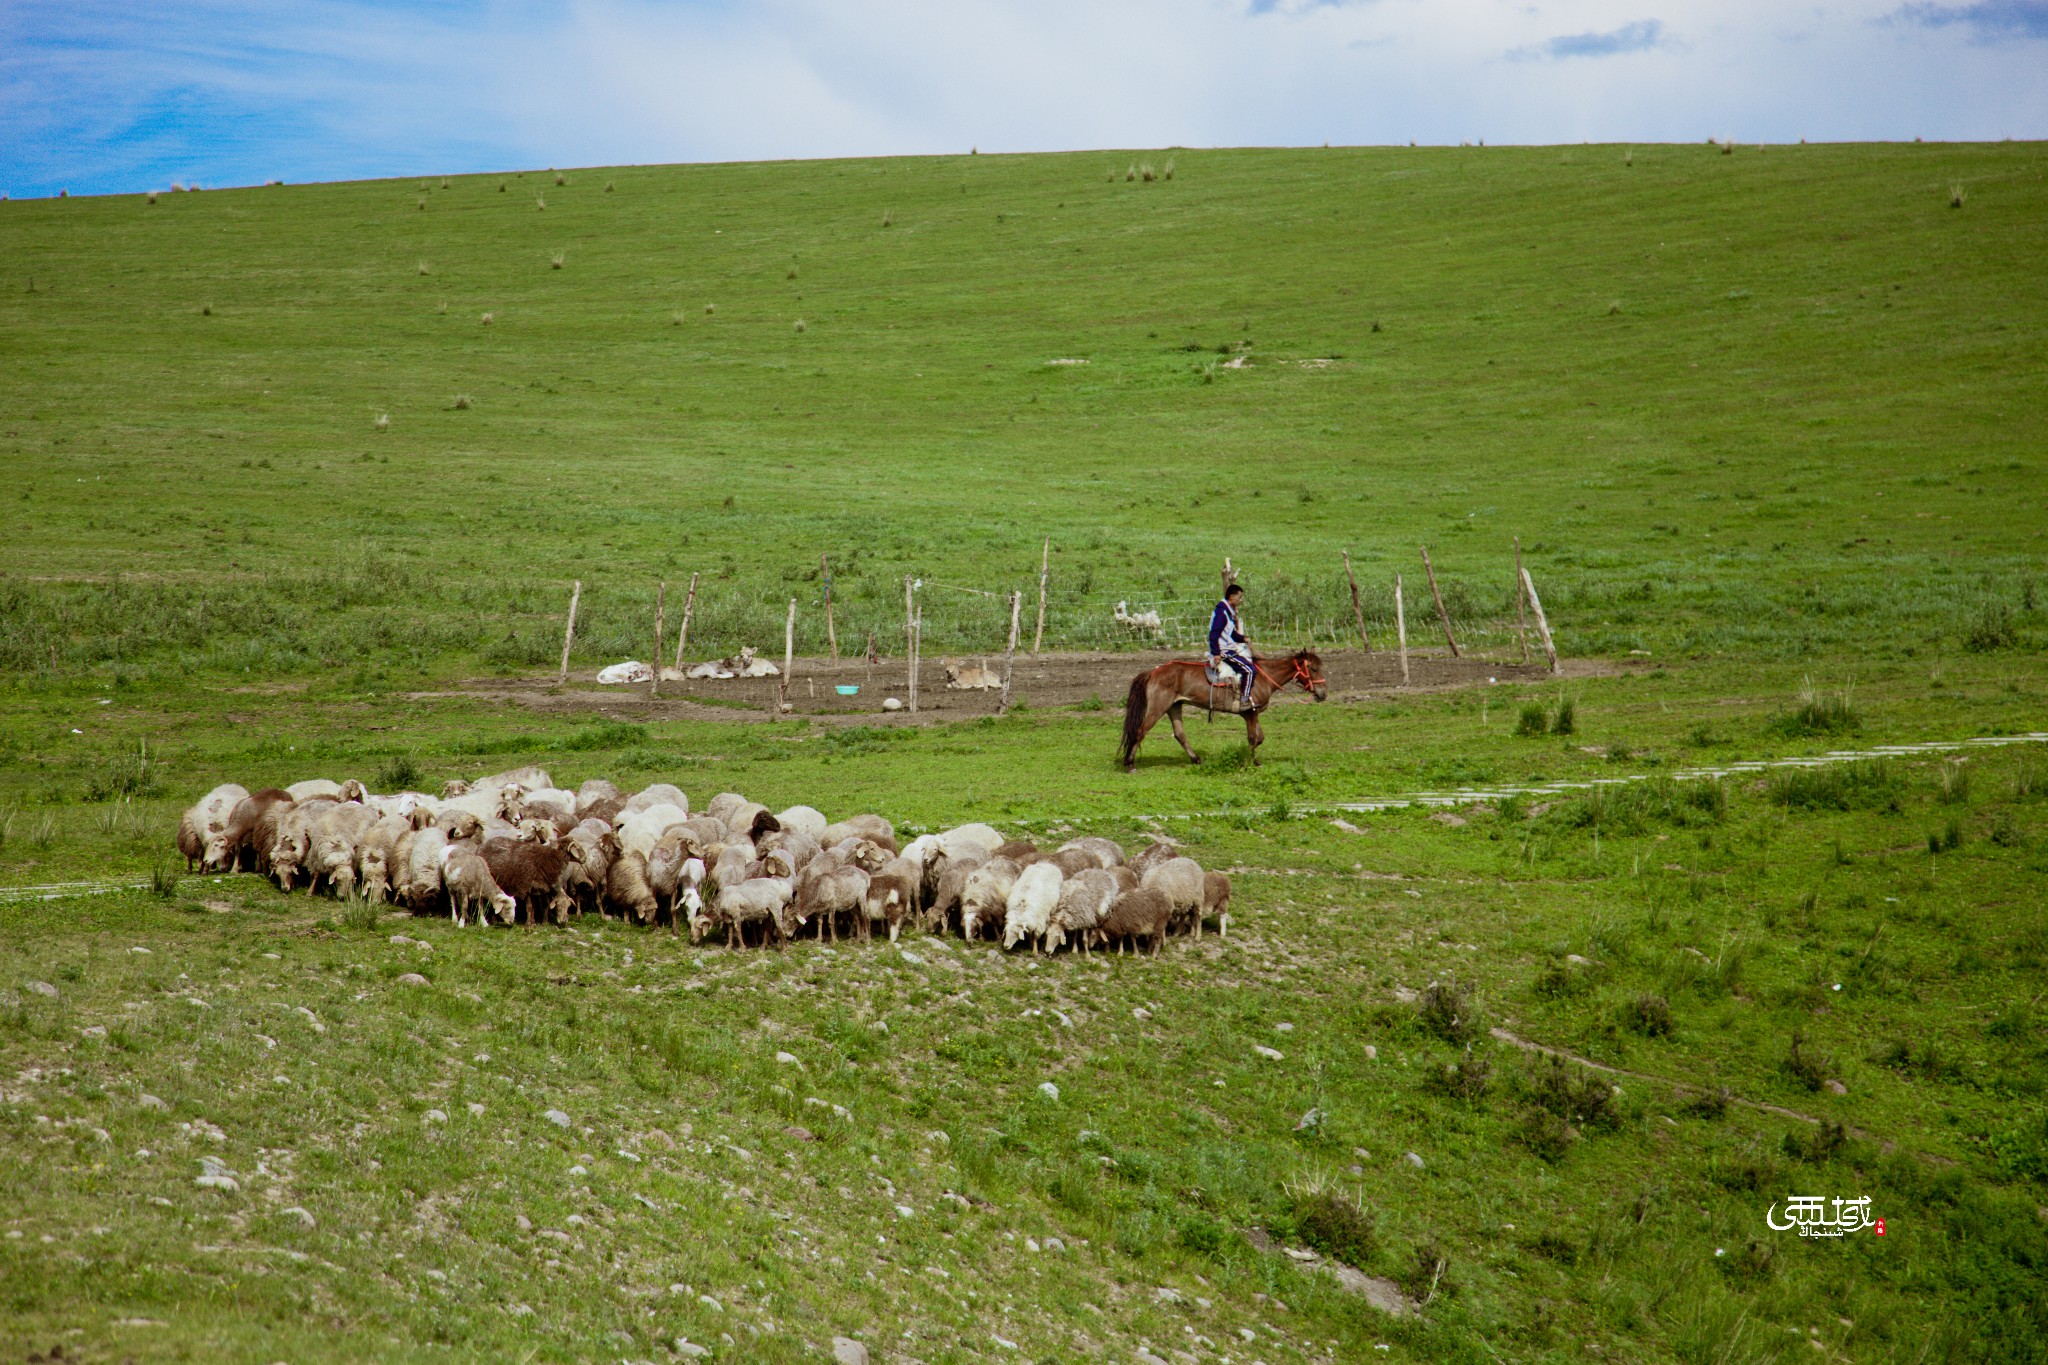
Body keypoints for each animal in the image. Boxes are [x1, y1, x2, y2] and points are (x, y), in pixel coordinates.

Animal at [1122, 650, 1327, 769]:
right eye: (1313, 669)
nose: (1323, 693)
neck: (1264, 677)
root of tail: (1153, 672)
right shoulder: (1251, 713)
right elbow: (1253, 738)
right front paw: (1247, 761)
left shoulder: (1251, 714)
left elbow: (1259, 738)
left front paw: (1254, 760)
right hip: (1158, 708)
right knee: (1140, 731)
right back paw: (1130, 763)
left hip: (1174, 707)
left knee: (1180, 734)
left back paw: (1196, 759)